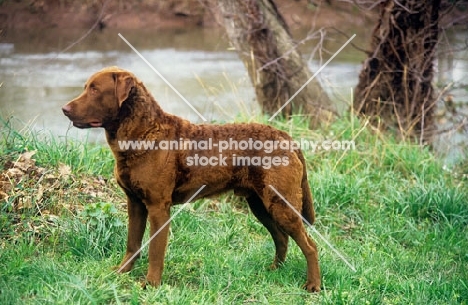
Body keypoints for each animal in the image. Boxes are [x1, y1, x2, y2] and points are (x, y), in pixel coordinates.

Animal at [60, 67, 320, 292]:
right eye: (86, 87)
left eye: (95, 89)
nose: (64, 109)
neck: (142, 133)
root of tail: (287, 138)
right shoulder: (135, 203)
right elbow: (132, 243)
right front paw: (121, 273)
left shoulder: (158, 207)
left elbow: (155, 249)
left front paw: (151, 284)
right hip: (260, 204)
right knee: (282, 238)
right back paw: (274, 271)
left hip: (281, 203)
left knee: (310, 245)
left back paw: (312, 285)